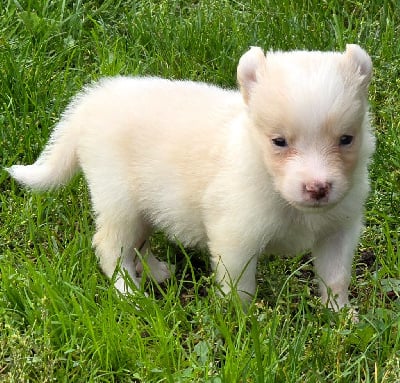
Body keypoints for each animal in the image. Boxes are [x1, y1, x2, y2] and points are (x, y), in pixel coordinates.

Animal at [7, 45, 376, 310]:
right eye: (279, 142)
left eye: (346, 139)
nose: (318, 188)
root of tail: (92, 100)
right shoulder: (235, 238)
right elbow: (240, 288)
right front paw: (243, 325)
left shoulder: (339, 230)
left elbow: (336, 277)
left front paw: (342, 317)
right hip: (119, 200)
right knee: (111, 247)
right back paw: (130, 294)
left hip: (144, 205)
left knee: (140, 242)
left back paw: (156, 273)